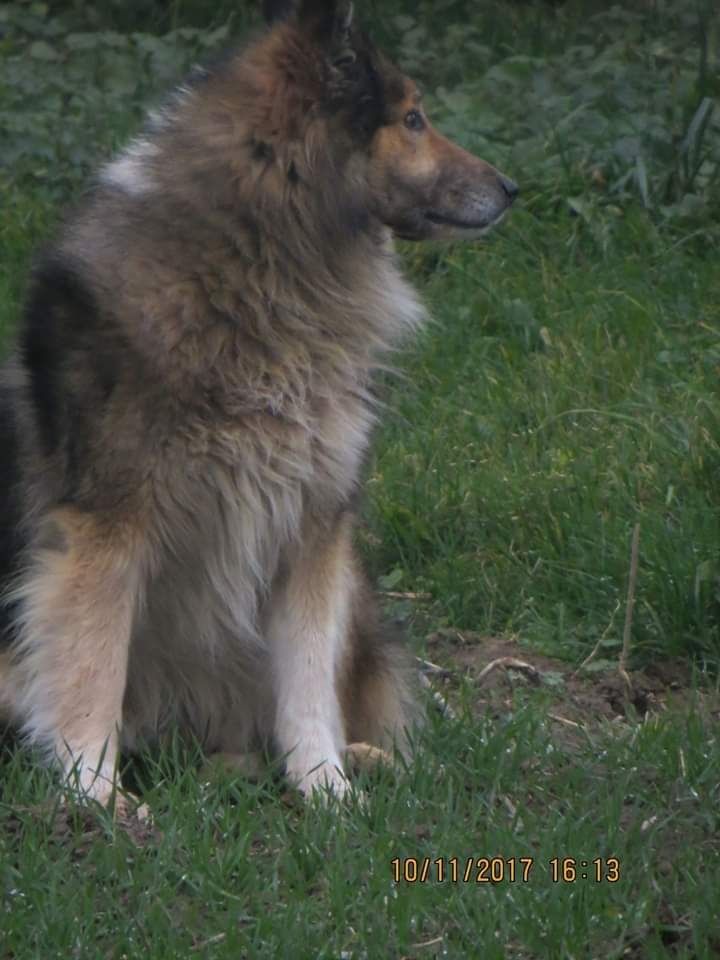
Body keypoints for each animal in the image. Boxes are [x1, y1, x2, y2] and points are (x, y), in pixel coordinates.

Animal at [0, 0, 516, 816]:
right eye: (412, 117)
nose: (510, 187)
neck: (259, 266)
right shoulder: (106, 530)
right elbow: (91, 662)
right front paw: (95, 796)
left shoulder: (313, 523)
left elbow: (306, 677)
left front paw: (326, 787)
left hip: (358, 592)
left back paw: (344, 760)